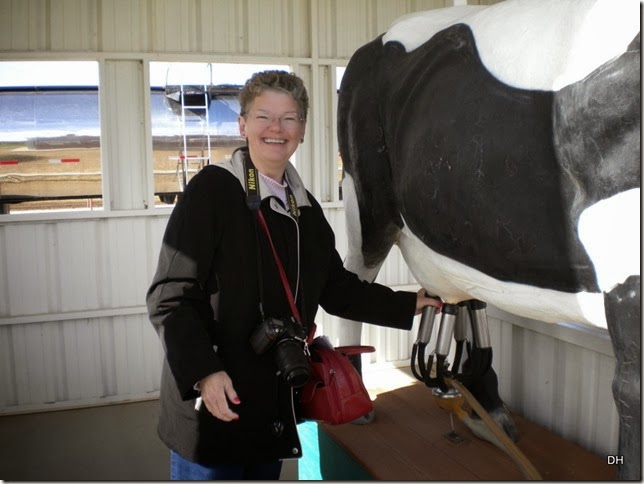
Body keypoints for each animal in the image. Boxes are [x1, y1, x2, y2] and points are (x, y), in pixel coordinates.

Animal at [335, 0, 640, 480]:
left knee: (468, 295)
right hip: (365, 199)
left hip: (468, 218)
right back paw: (360, 403)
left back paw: (488, 413)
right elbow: (632, 391)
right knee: (355, 278)